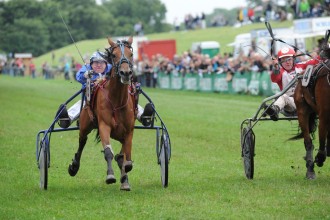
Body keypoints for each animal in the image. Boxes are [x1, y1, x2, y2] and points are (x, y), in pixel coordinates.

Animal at [67, 37, 136, 190]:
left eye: (131, 54)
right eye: (114, 55)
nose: (126, 73)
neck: (116, 101)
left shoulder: (129, 131)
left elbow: (126, 159)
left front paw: (124, 178)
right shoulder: (104, 125)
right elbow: (109, 152)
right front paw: (110, 176)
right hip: (85, 124)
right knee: (82, 141)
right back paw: (74, 166)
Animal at [294, 42, 330, 180]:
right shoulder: (324, 115)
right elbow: (321, 140)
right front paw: (319, 158)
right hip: (302, 111)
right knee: (308, 142)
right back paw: (310, 169)